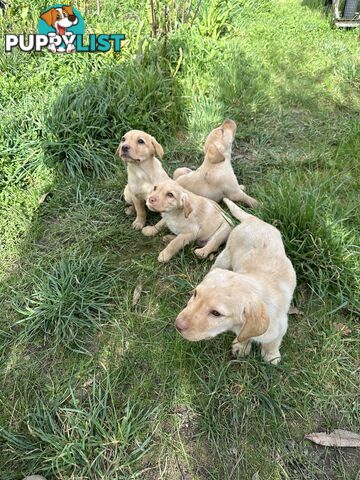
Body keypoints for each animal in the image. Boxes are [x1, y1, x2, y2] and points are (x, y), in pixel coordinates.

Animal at [176, 199, 296, 364]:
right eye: (195, 294)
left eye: (216, 313)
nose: (177, 325)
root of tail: (253, 219)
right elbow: (244, 336)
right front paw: (241, 346)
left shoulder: (280, 327)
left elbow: (273, 342)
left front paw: (271, 355)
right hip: (225, 257)